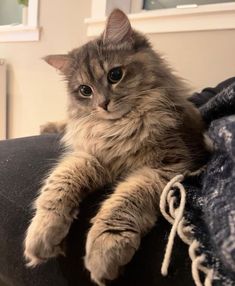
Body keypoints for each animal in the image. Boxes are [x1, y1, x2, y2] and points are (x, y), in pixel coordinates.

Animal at [23, 8, 207, 286]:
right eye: (85, 91)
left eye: (115, 75)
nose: (103, 104)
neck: (119, 128)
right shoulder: (91, 157)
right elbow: (56, 187)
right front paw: (42, 233)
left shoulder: (167, 167)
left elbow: (122, 203)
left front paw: (104, 252)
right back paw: (49, 126)